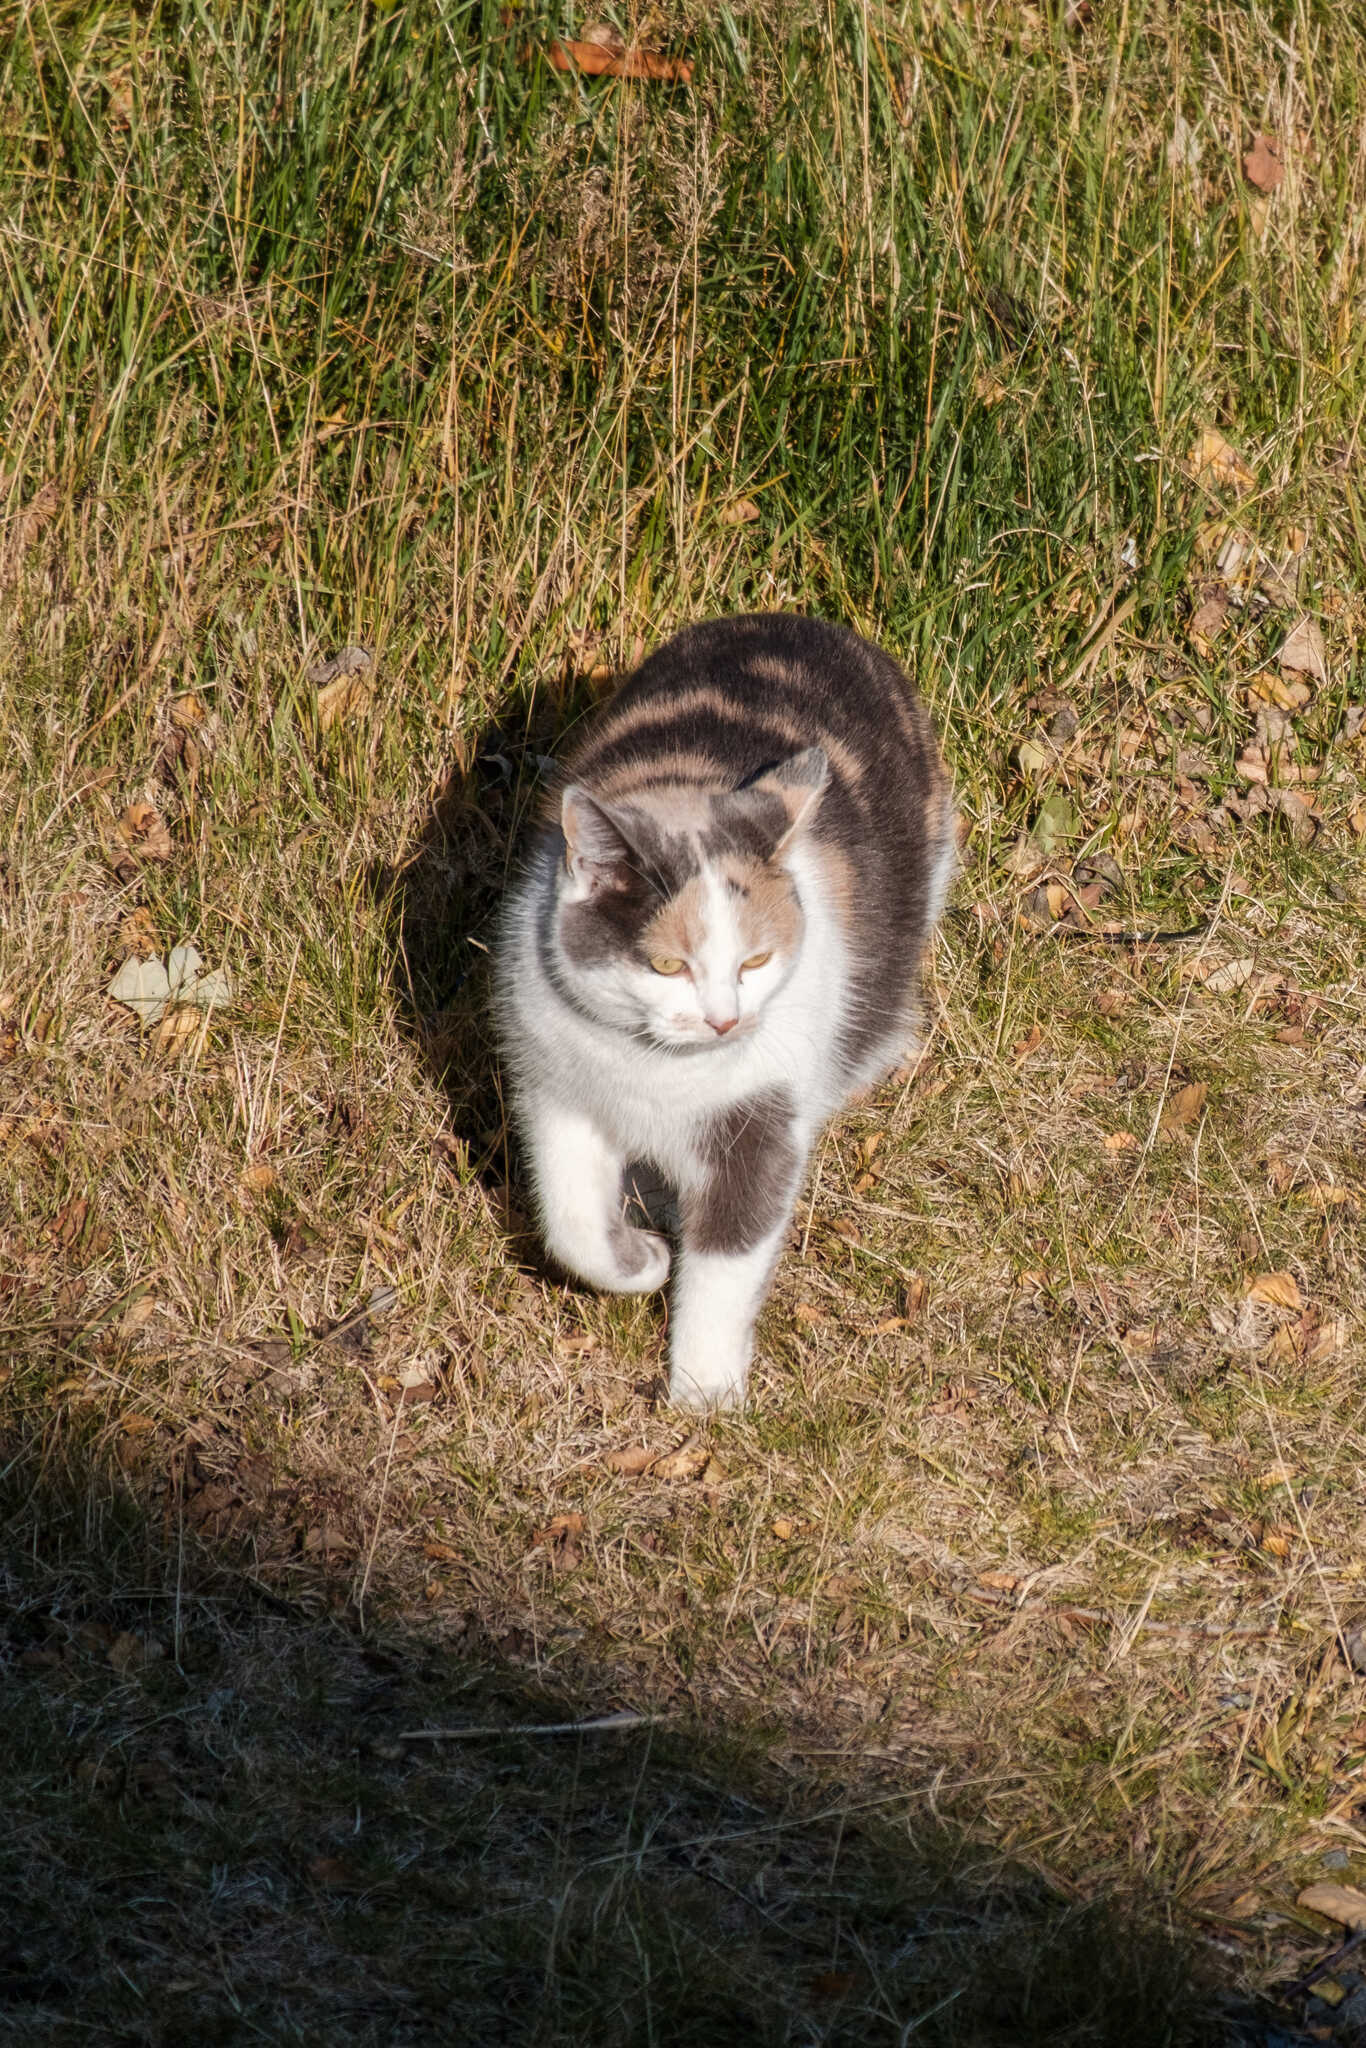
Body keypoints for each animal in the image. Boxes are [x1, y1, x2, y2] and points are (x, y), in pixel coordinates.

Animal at [497, 606, 958, 1409]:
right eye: (667, 965)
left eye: (756, 961)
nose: (723, 1020)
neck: (657, 1070)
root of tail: (801, 619)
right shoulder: (556, 1089)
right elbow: (571, 1224)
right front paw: (644, 1260)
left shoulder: (760, 1123)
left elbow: (728, 1261)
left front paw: (703, 1398)